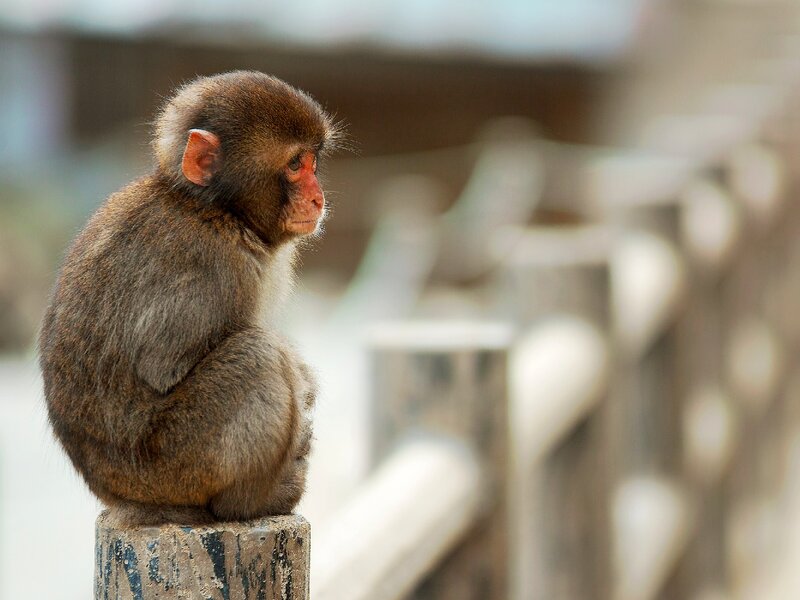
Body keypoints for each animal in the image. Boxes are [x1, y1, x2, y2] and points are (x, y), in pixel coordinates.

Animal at [38, 71, 342, 527]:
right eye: (294, 165)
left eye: (312, 163)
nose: (317, 197)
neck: (214, 210)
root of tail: (119, 496)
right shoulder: (213, 265)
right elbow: (163, 367)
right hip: (175, 466)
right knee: (257, 355)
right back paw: (252, 502)